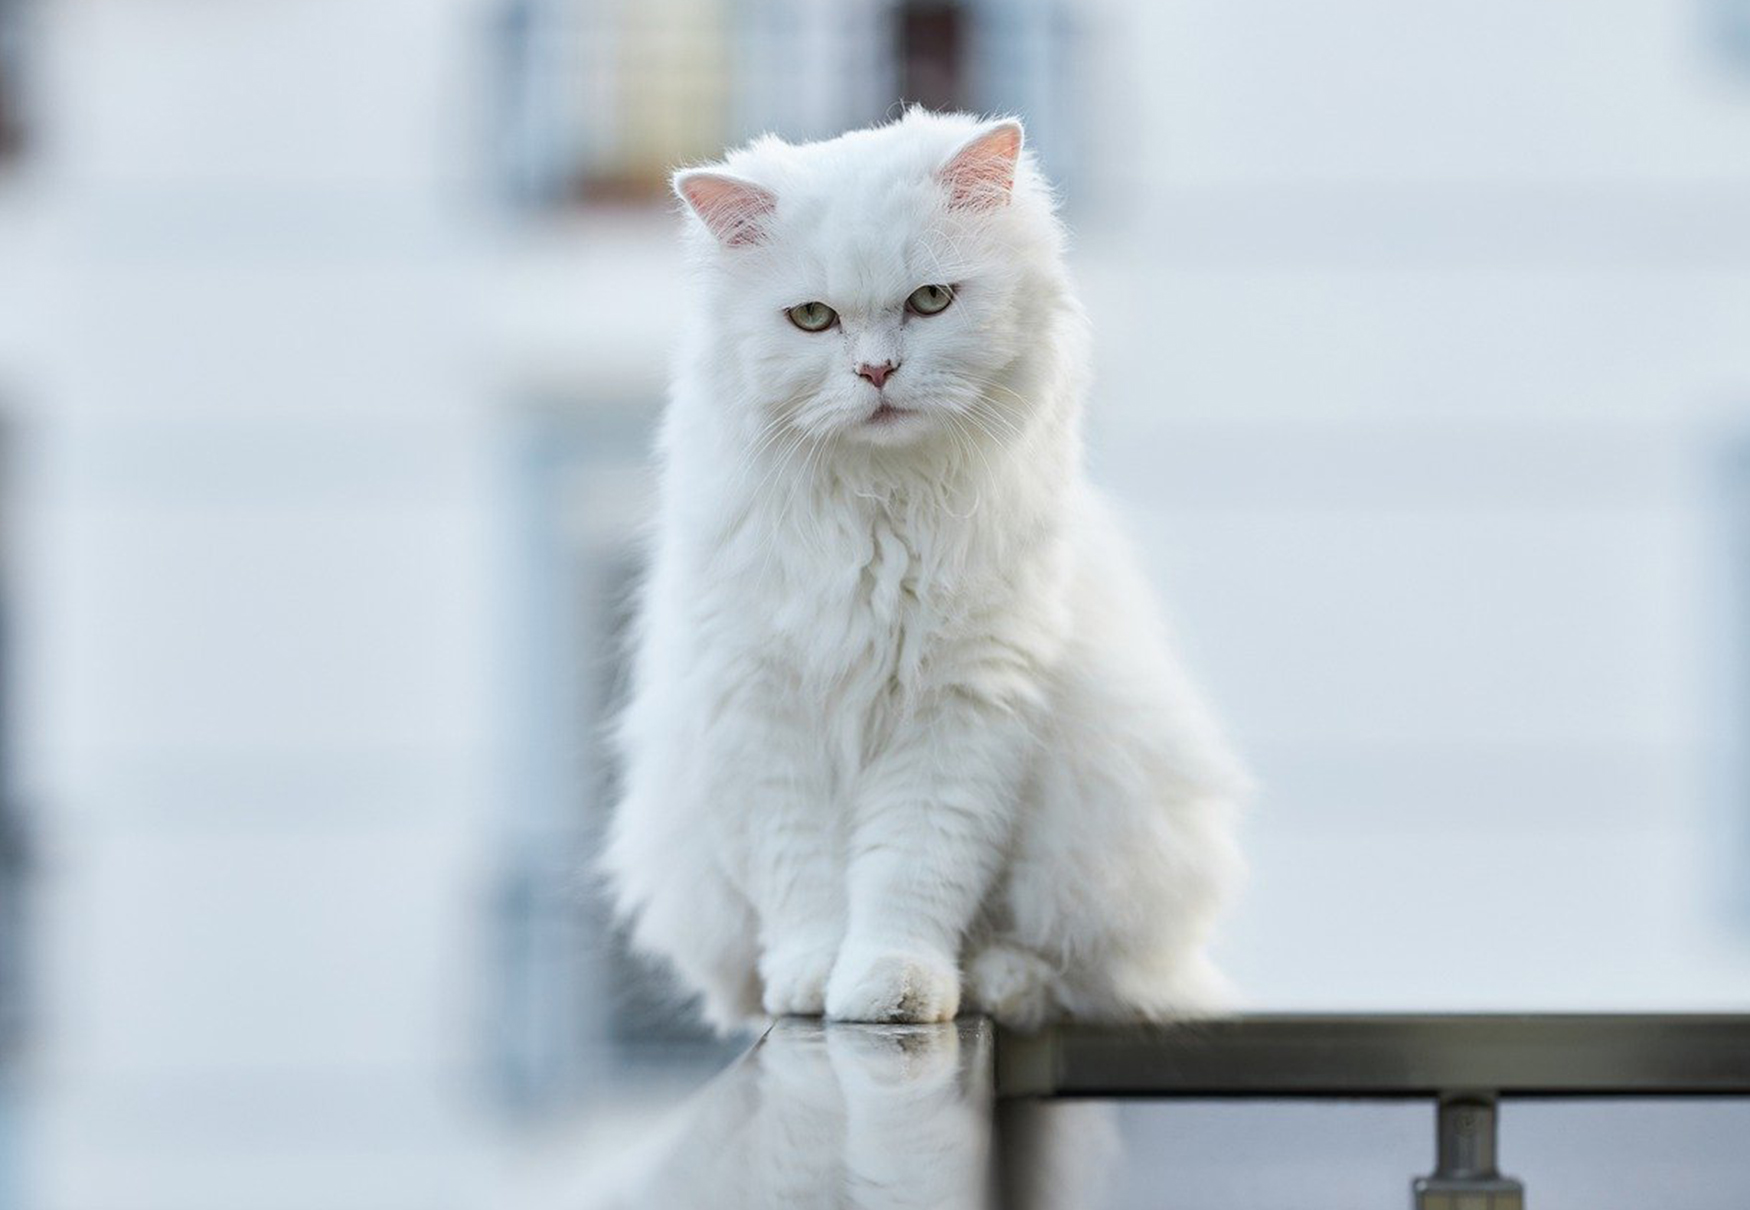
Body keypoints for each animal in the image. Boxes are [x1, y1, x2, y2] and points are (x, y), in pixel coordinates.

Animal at [609, 111, 1253, 1029]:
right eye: (812, 317)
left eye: (930, 301)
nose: (876, 371)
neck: (880, 508)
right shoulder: (762, 708)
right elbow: (803, 880)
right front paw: (812, 984)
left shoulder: (962, 706)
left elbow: (909, 874)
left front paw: (894, 990)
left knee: (1067, 967)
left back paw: (994, 981)